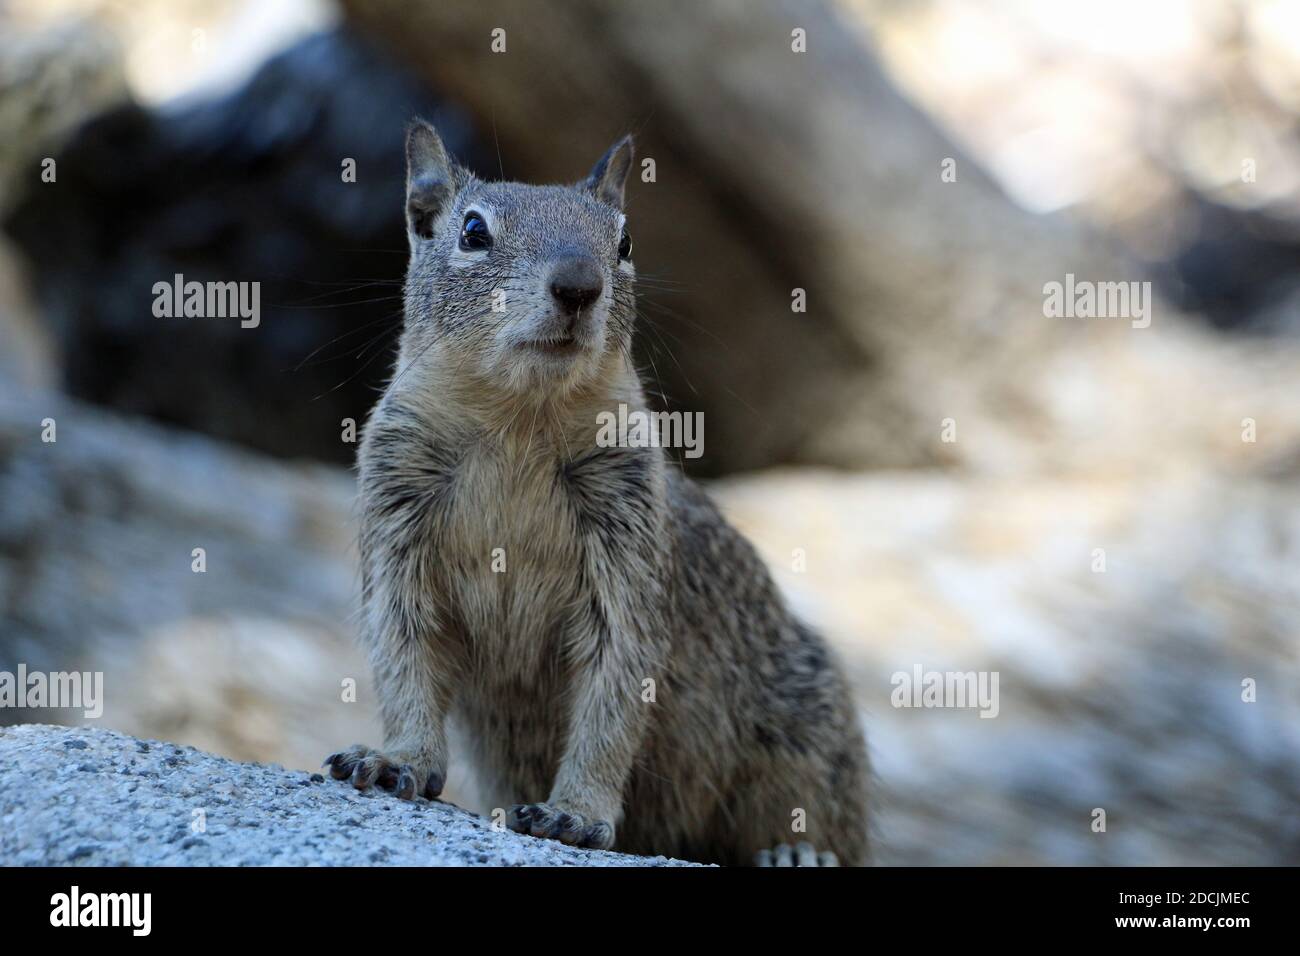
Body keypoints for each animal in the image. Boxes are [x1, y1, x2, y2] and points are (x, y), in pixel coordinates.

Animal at [325, 119, 869, 866]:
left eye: (626, 241)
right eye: (472, 231)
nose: (579, 285)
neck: (519, 423)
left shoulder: (628, 548)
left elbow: (614, 692)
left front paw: (577, 813)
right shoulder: (395, 515)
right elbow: (403, 652)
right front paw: (397, 759)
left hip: (808, 729)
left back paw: (797, 850)